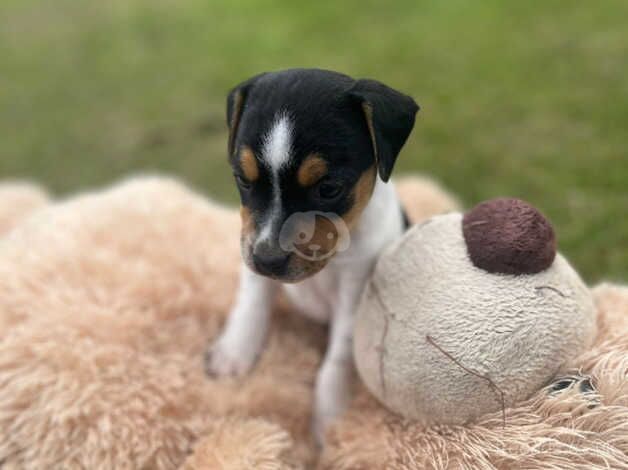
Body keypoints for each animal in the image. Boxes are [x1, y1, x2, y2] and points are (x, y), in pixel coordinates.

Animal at [206, 68, 420, 442]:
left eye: (329, 188)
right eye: (241, 179)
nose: (268, 261)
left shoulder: (356, 289)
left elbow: (338, 358)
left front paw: (328, 417)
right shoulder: (251, 247)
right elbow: (251, 304)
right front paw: (235, 351)